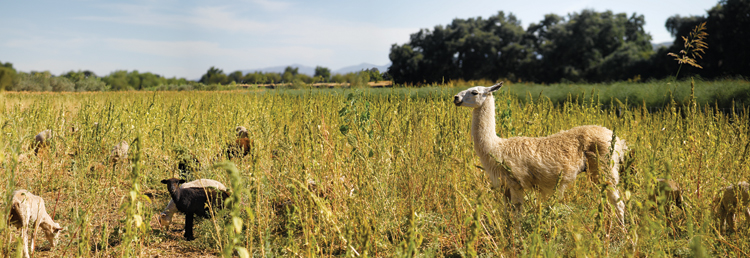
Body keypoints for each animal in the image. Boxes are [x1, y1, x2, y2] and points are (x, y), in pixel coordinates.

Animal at [456, 82, 632, 224]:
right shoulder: (504, 187)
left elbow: (517, 216)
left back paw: (623, 234)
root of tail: (617, 139)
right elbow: (508, 215)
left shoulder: (516, 182)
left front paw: (518, 241)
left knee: (619, 203)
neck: (496, 147)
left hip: (606, 168)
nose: (456, 97)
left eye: (474, 92)